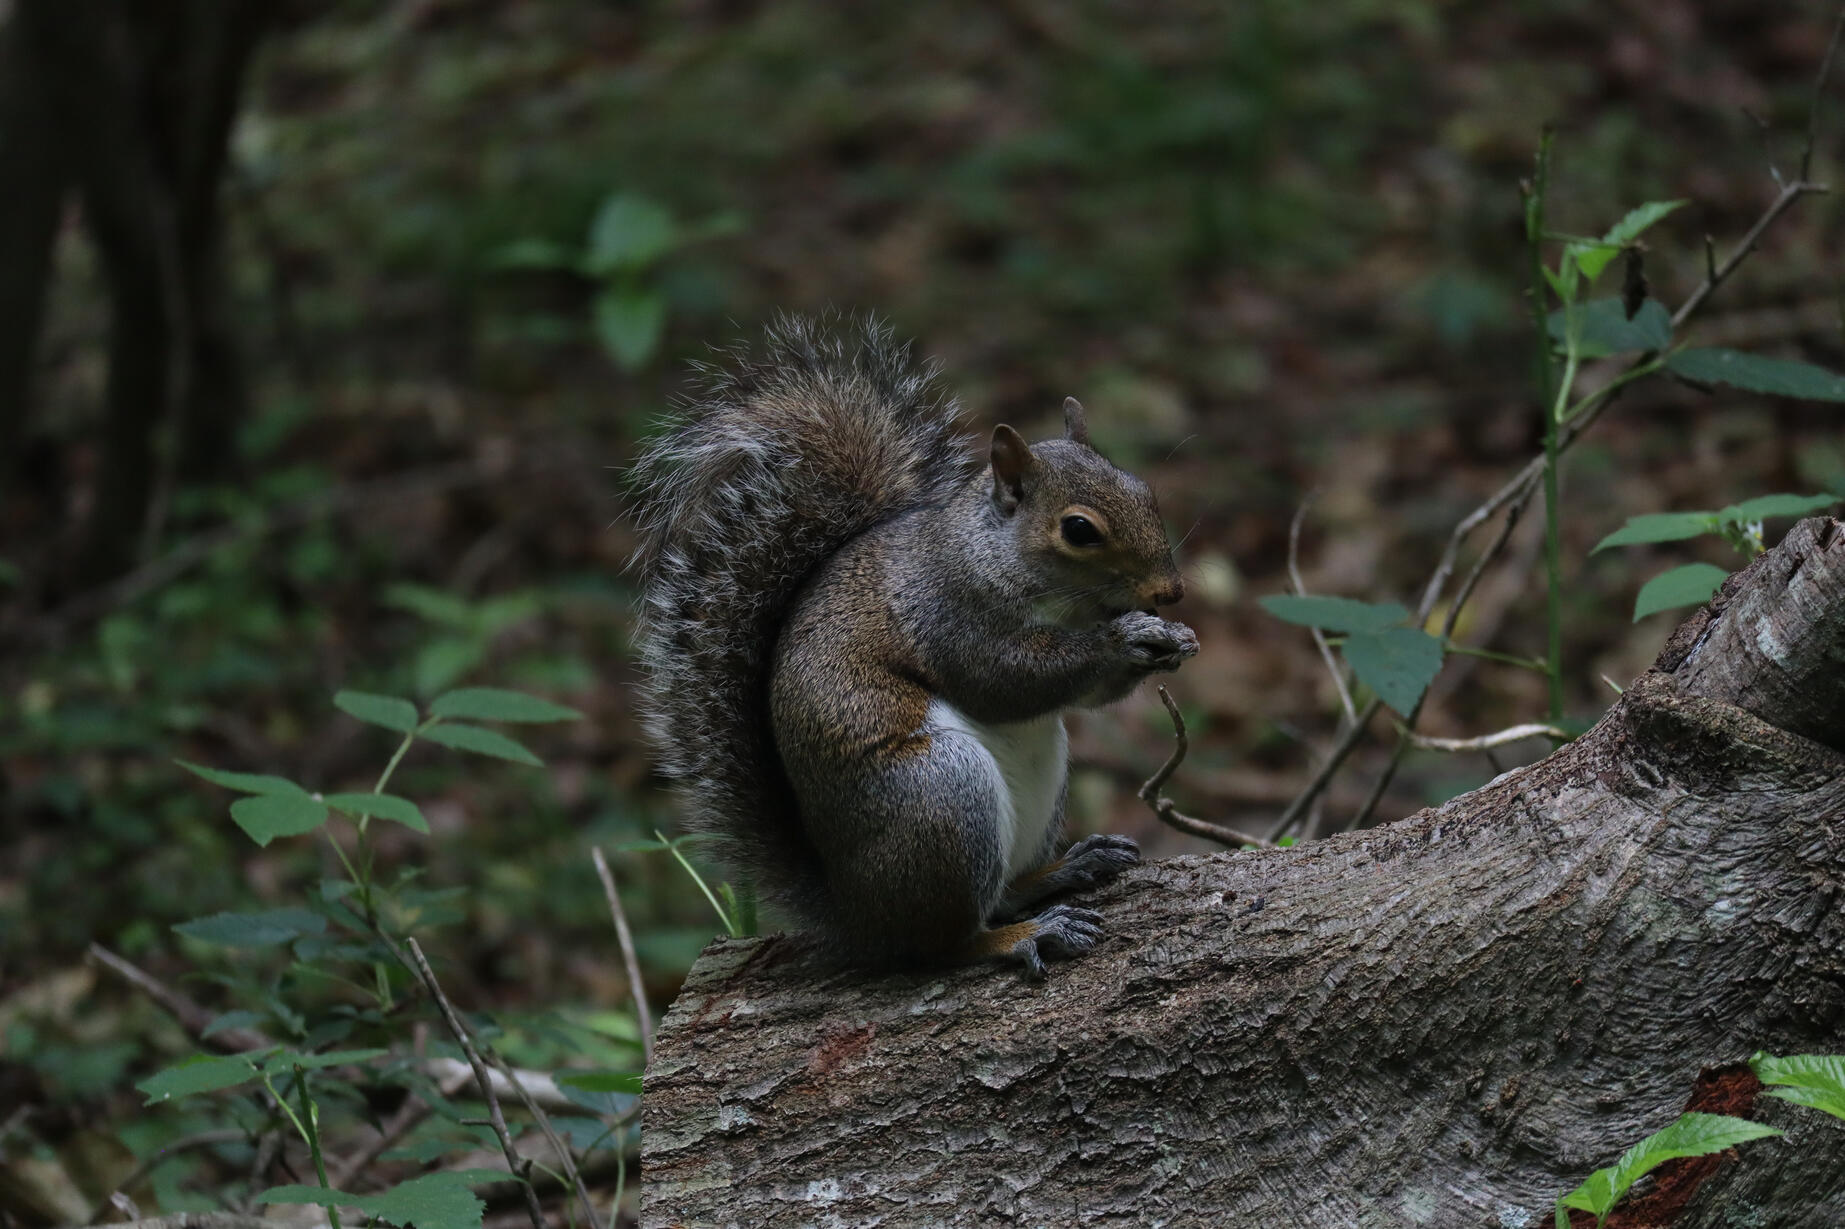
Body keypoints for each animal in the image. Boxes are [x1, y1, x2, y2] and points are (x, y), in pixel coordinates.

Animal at [630, 315, 1198, 977]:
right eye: (1079, 529)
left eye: (1143, 490)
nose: (1171, 591)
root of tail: (861, 918)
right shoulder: (944, 614)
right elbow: (1006, 680)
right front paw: (1126, 638)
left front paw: (1174, 641)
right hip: (938, 795)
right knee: (942, 944)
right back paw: (1025, 934)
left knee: (1000, 894)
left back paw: (1066, 869)